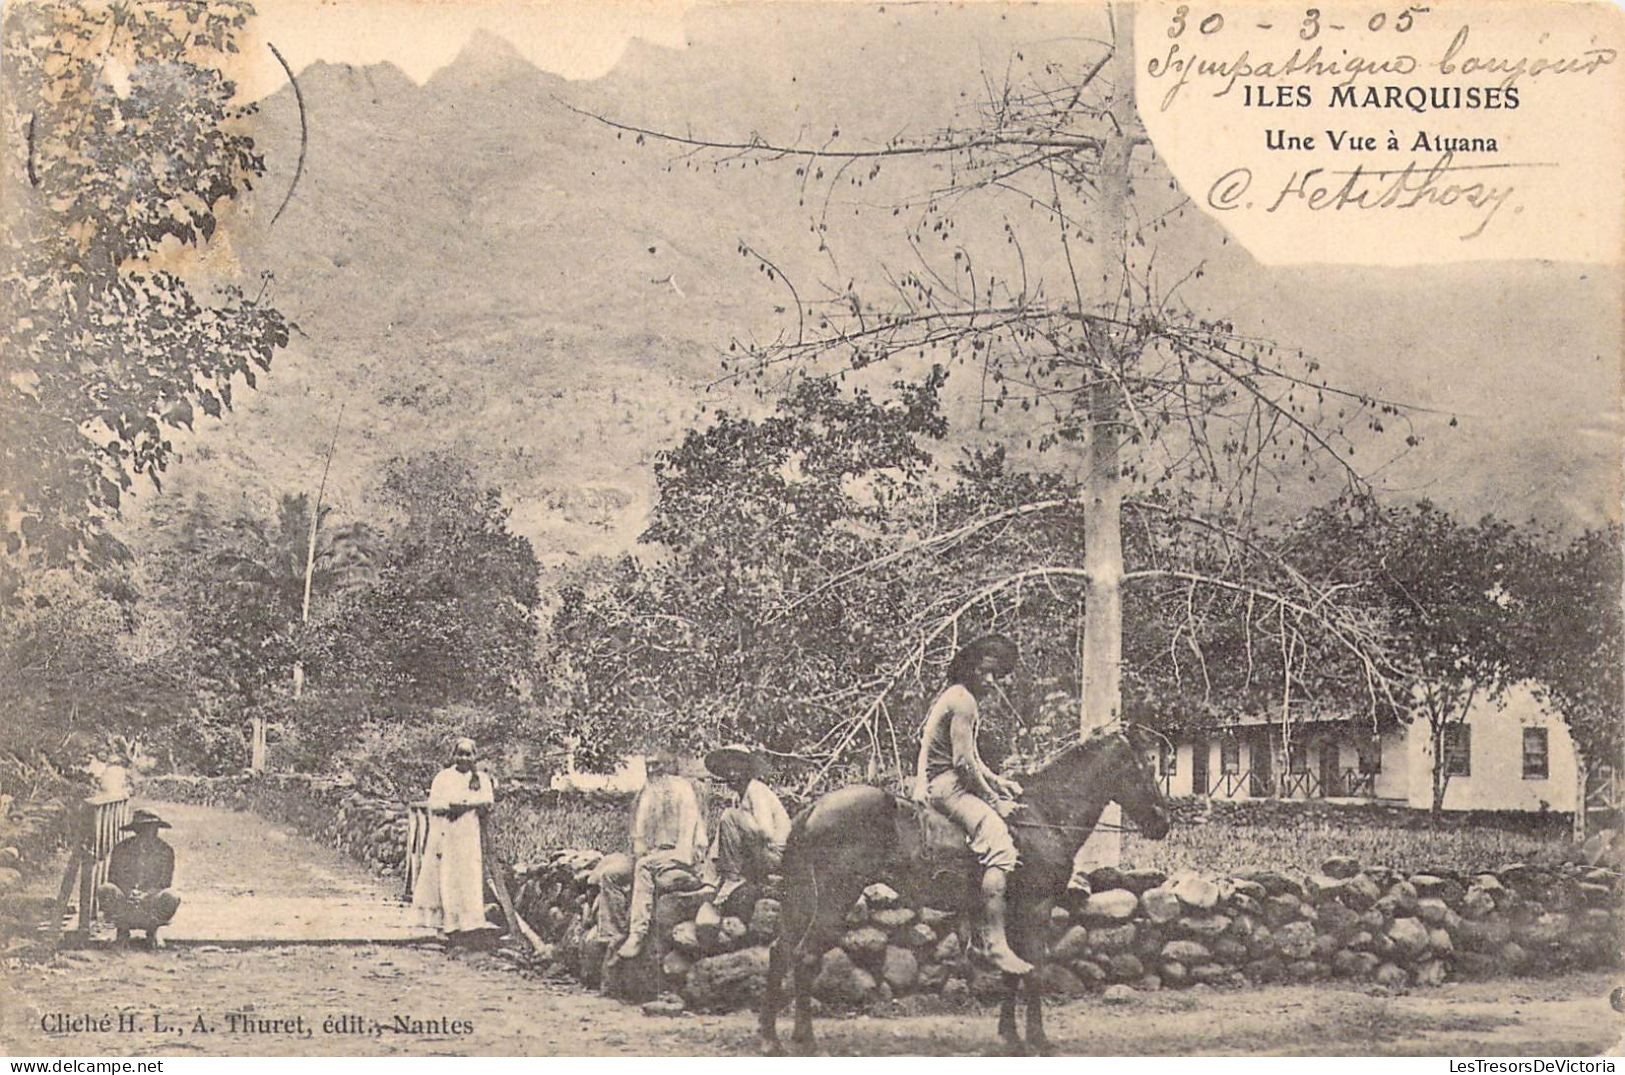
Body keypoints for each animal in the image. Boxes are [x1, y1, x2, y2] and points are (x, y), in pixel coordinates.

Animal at [760, 727, 1170, 1058]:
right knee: (804, 956)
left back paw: (771, 1039)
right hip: (834, 899)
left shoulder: (1015, 914)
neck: (1043, 814)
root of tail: (814, 808)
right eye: (1143, 768)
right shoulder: (1036, 908)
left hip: (803, 900)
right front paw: (1036, 1039)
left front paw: (1010, 1036)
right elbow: (1033, 969)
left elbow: (1012, 973)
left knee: (780, 951)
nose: (1163, 822)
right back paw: (805, 1040)